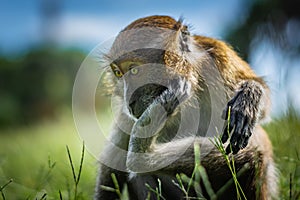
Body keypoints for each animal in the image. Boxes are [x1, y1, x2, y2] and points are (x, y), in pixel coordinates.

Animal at [94, 14, 278, 199]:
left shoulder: (219, 57)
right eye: (118, 73)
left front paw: (249, 96)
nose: (129, 102)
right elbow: (110, 171)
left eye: (134, 70)